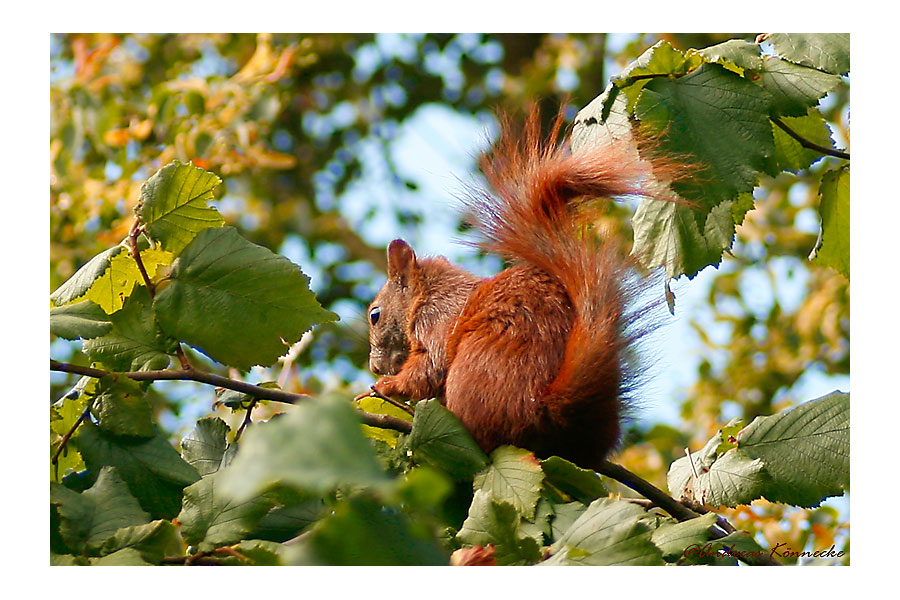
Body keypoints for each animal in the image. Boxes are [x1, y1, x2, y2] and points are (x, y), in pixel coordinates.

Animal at [362, 110, 680, 472]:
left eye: (375, 315)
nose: (374, 367)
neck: (429, 292)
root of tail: (544, 406)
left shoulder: (437, 318)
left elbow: (428, 368)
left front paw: (387, 385)